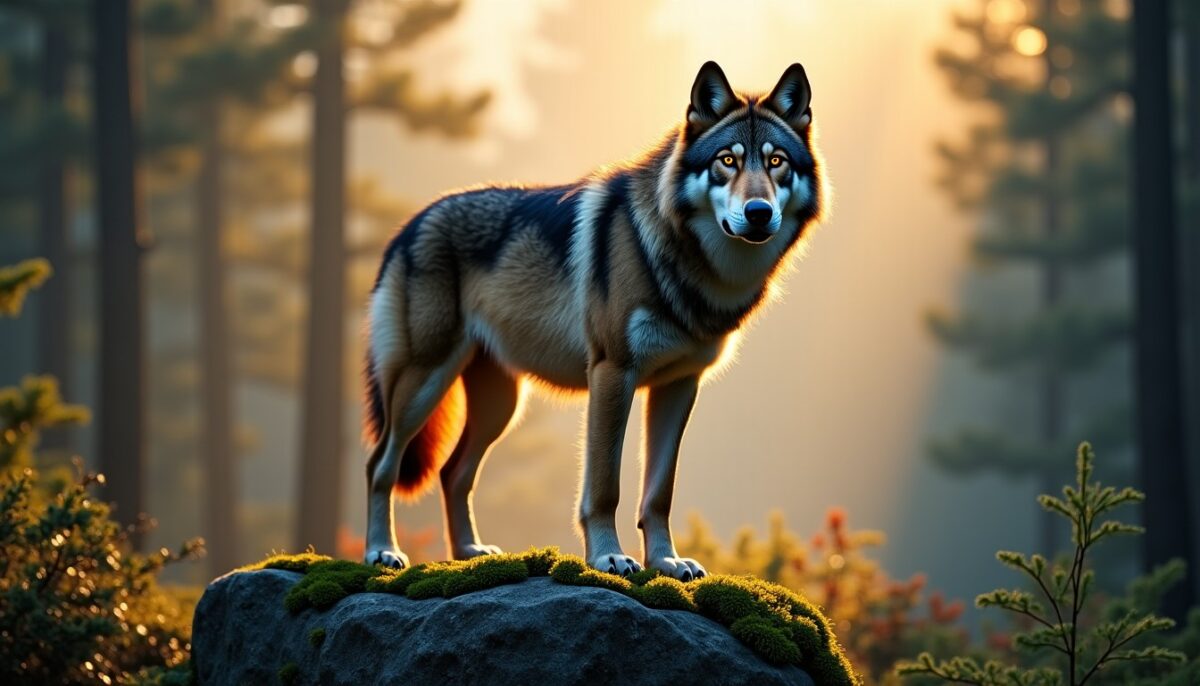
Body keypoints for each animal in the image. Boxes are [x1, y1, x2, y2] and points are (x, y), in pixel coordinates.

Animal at [362, 61, 825, 581]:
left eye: (776, 162)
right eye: (727, 160)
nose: (758, 212)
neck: (682, 260)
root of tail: (409, 224)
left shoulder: (680, 385)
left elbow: (659, 493)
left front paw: (666, 561)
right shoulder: (612, 373)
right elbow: (605, 485)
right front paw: (608, 557)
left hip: (501, 406)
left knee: (452, 472)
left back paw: (469, 552)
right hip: (423, 385)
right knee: (380, 464)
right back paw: (381, 552)